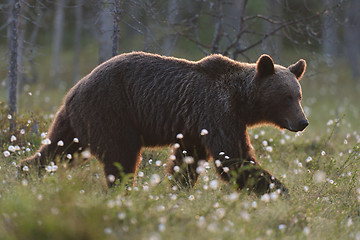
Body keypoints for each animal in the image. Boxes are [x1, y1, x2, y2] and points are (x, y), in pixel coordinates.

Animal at [19, 52, 306, 195]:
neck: (241, 100)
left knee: (59, 148)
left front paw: (179, 189)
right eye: (286, 97)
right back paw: (121, 191)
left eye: (299, 95)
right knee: (121, 156)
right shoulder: (216, 111)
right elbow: (232, 157)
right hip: (111, 111)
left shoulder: (194, 126)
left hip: (76, 120)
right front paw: (281, 190)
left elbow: (188, 160)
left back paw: (25, 171)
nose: (302, 121)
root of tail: (74, 88)